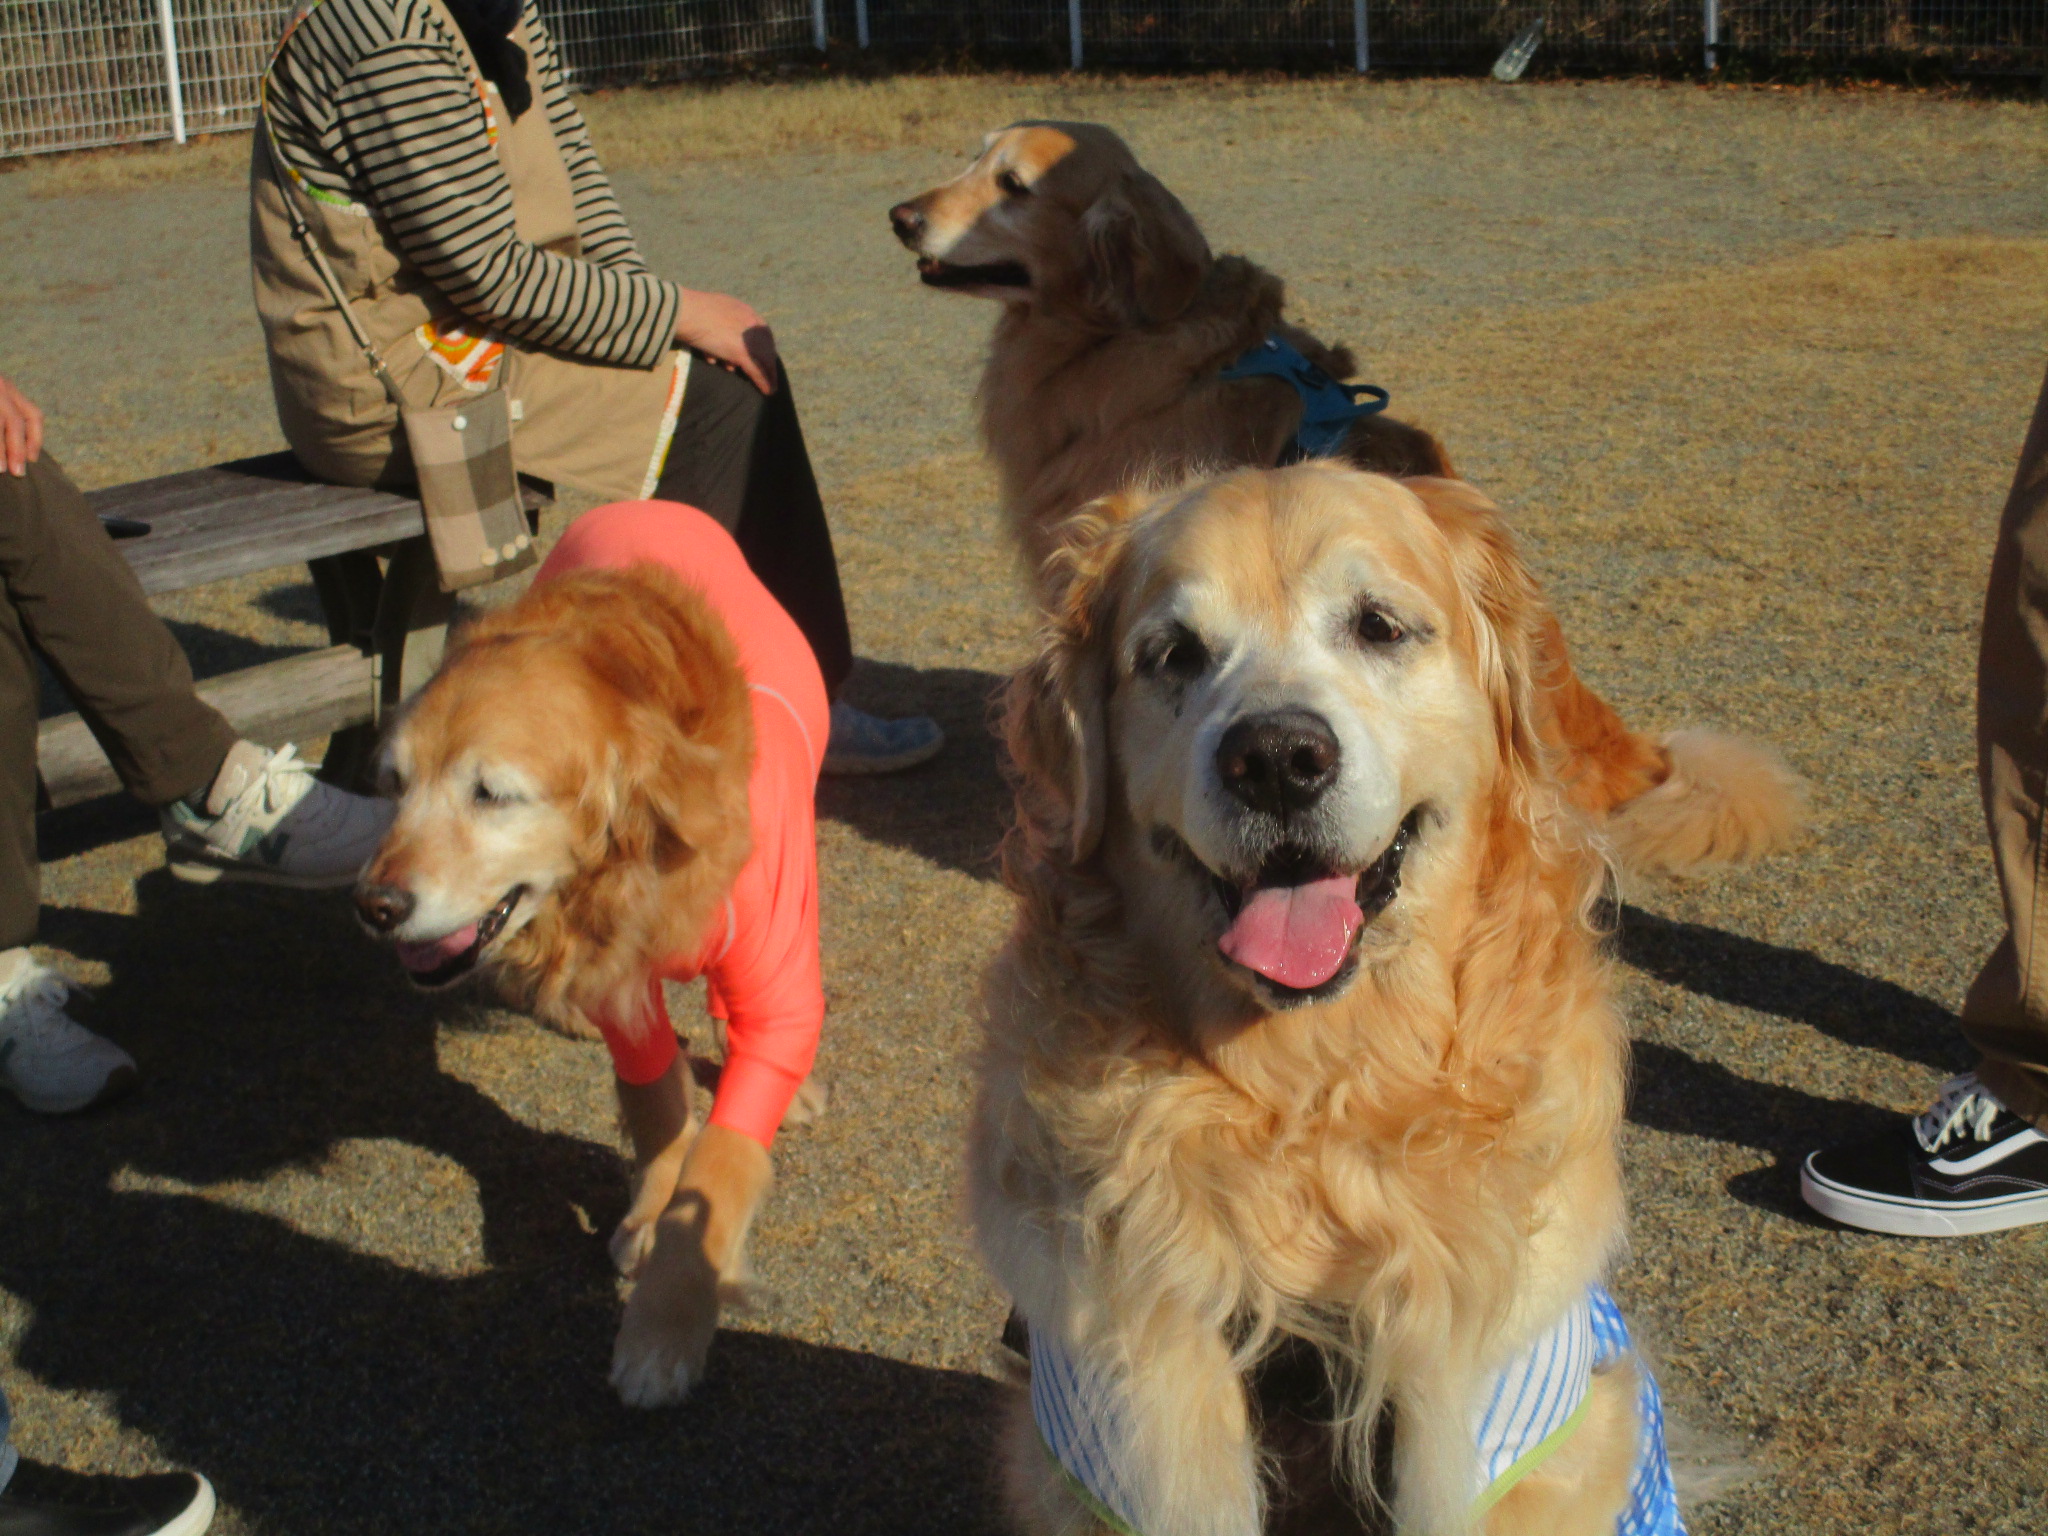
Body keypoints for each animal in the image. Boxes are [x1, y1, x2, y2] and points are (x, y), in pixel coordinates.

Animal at [356, 500, 829, 1409]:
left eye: (492, 794)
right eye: (395, 785)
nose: (375, 907)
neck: (639, 869)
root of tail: (646, 499)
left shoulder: (778, 970)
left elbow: (722, 1159)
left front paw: (663, 1330)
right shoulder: (621, 984)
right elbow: (656, 1102)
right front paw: (650, 1208)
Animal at [971, 464, 1683, 1536]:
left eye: (1379, 625)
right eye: (1172, 655)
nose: (1274, 758)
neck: (1310, 1107)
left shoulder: (1506, 1418)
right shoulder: (1111, 1436)